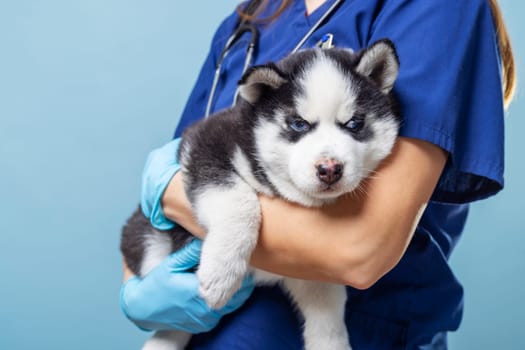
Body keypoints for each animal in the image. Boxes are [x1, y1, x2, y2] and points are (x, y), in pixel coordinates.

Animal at [122, 39, 402, 350]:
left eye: (354, 124)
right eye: (298, 124)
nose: (329, 169)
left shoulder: (313, 272)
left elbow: (327, 313)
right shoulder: (204, 143)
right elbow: (239, 202)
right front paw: (221, 271)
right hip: (147, 237)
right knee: (166, 315)